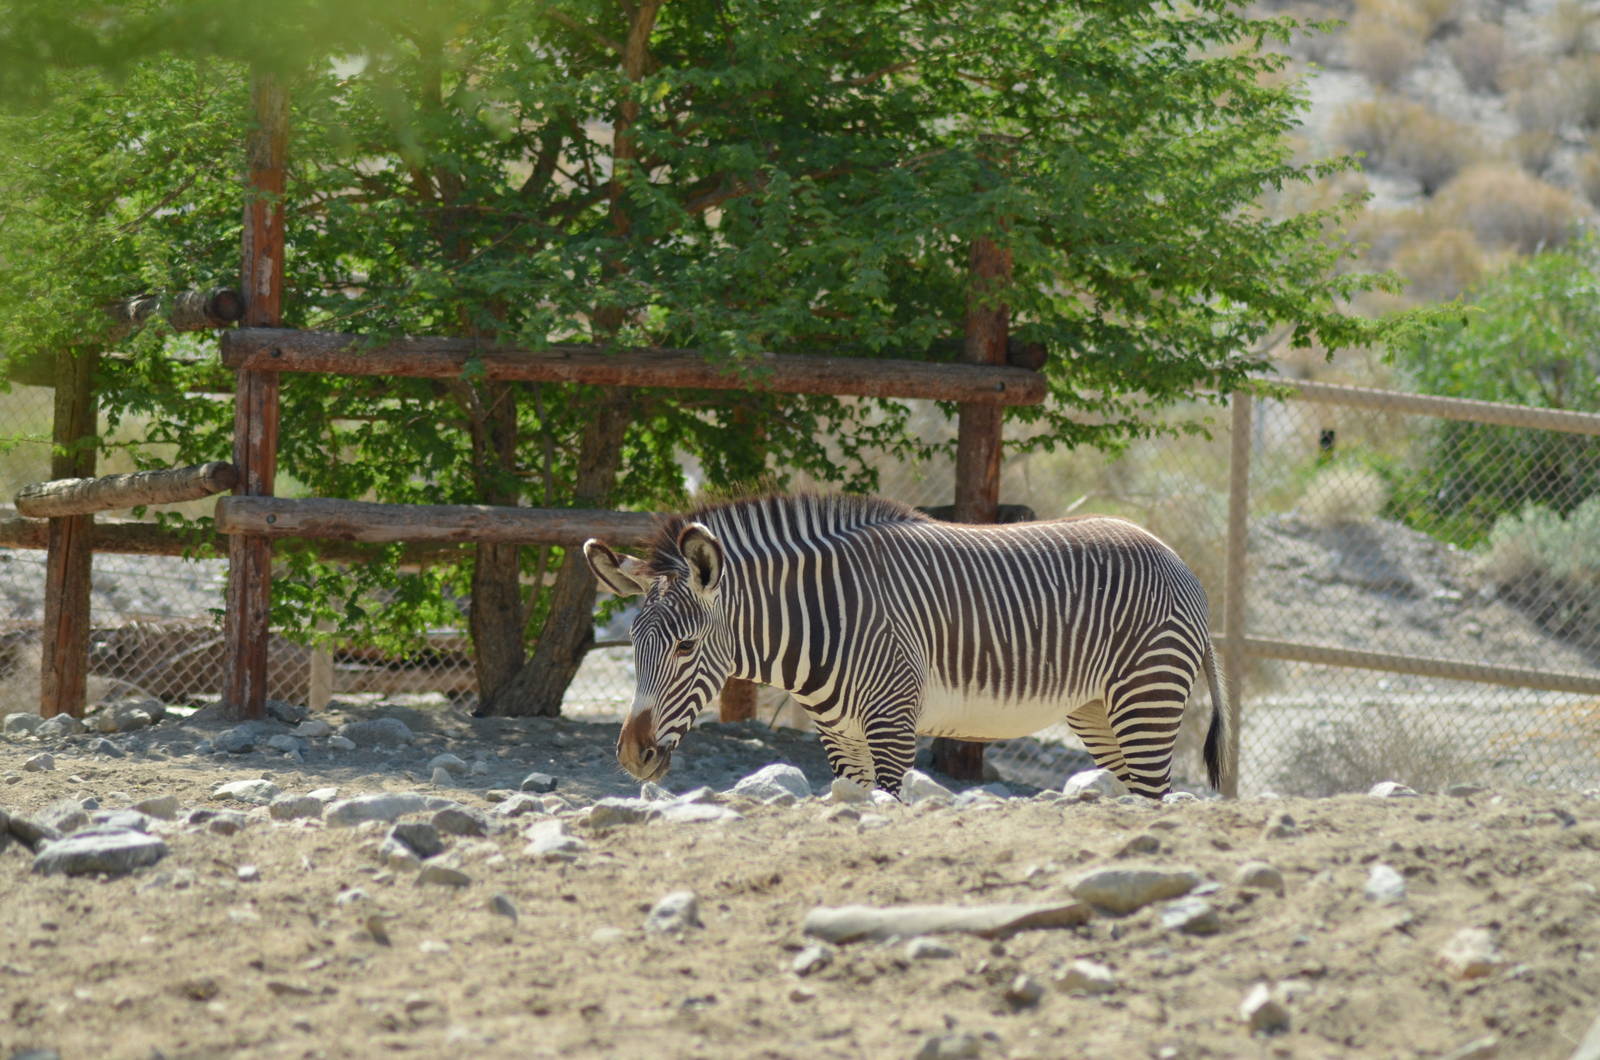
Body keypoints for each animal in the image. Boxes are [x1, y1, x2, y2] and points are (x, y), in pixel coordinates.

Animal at [584, 492, 1232, 799]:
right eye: (633, 646)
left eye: (686, 647)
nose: (632, 756)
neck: (824, 618)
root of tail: (1176, 557)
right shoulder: (840, 737)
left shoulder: (892, 727)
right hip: (1097, 712)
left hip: (1146, 700)